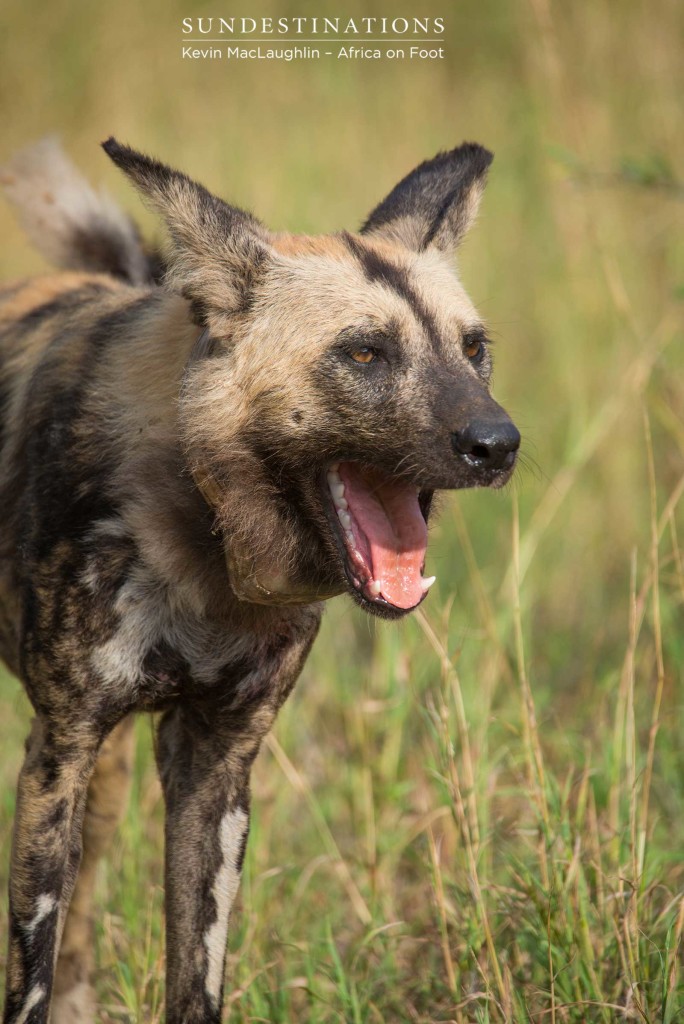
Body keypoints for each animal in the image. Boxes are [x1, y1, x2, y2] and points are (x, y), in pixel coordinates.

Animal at [0, 138, 518, 1024]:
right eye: (365, 352)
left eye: (473, 347)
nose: (498, 443)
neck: (202, 543)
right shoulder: (58, 753)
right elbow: (29, 976)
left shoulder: (214, 767)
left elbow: (195, 977)